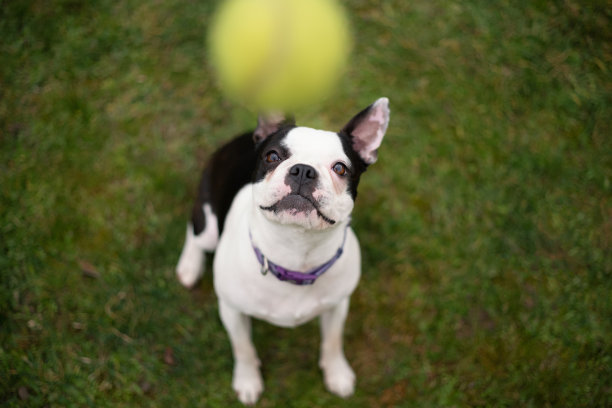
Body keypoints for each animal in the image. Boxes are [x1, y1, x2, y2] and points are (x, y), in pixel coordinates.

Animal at [175, 97, 390, 404]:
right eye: (273, 156)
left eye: (340, 168)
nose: (303, 169)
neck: (295, 252)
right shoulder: (231, 311)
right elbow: (243, 348)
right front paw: (247, 381)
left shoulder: (338, 305)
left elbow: (333, 341)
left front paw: (337, 373)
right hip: (209, 227)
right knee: (194, 230)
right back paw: (189, 266)